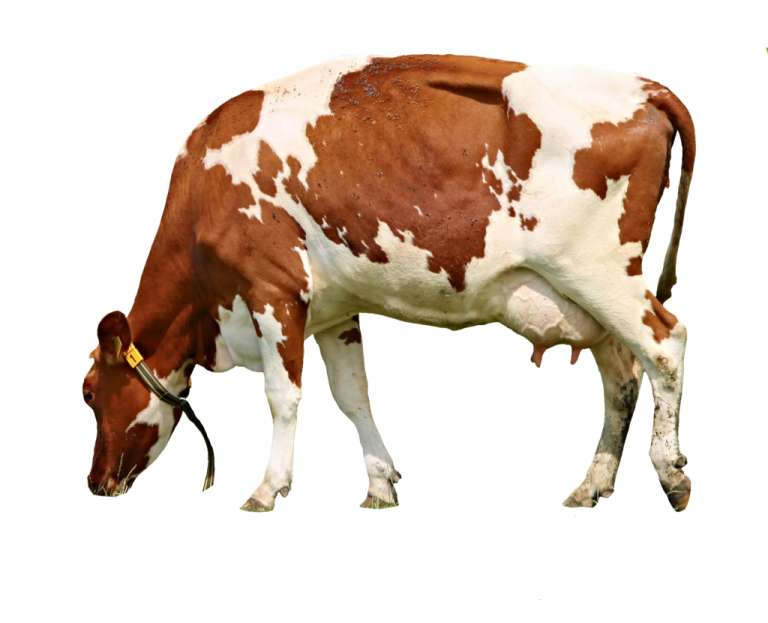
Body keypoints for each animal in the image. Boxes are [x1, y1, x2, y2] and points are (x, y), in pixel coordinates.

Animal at [83, 53, 695, 512]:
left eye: (88, 395)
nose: (95, 483)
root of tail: (643, 86)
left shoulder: (273, 290)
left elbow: (282, 395)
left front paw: (267, 488)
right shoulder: (334, 311)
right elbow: (353, 395)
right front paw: (380, 484)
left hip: (601, 273)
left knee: (665, 345)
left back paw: (671, 475)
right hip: (586, 298)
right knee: (622, 378)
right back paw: (592, 485)